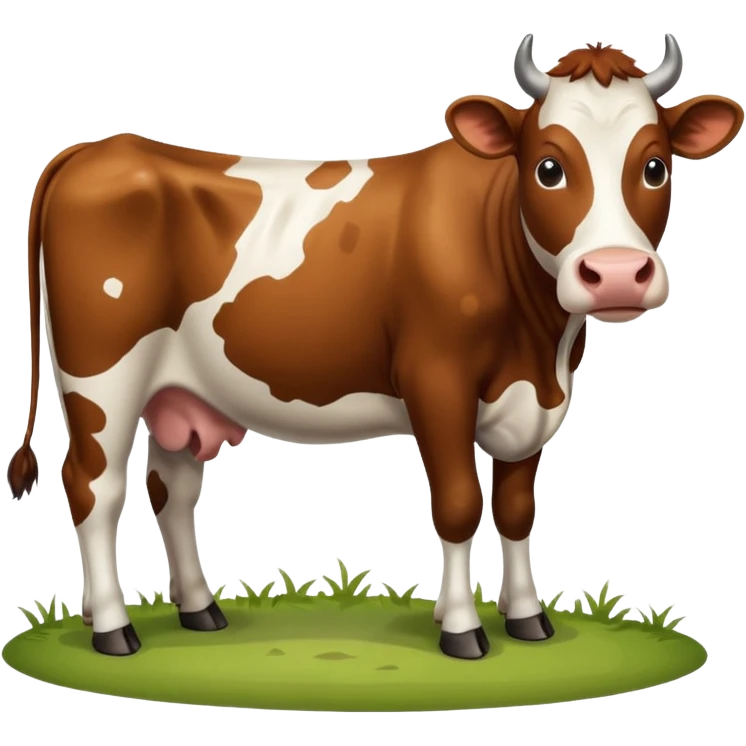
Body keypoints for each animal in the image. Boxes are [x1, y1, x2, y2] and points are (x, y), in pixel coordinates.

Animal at [8, 33, 743, 661]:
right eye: (549, 167)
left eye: (655, 166)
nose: (616, 274)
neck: (541, 344)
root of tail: (98, 149)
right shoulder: (437, 381)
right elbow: (457, 505)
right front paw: (463, 630)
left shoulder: (533, 399)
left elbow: (515, 510)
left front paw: (528, 619)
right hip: (101, 377)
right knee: (94, 486)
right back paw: (113, 628)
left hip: (180, 391)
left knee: (173, 486)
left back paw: (197, 609)